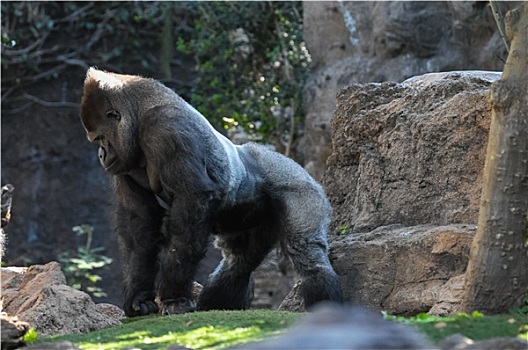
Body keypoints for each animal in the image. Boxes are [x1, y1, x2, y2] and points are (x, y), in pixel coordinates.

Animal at [78, 67, 342, 316]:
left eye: (101, 138)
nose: (101, 154)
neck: (140, 113)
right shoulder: (127, 160)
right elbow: (139, 222)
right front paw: (139, 296)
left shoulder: (165, 128)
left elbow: (191, 201)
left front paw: (174, 297)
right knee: (238, 263)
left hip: (301, 187)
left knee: (308, 255)